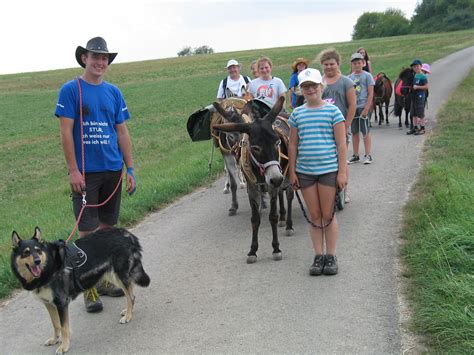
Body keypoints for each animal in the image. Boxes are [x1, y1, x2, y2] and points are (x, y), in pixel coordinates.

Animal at [10, 228, 150, 354]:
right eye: (26, 252)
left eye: (38, 251)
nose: (38, 261)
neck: (49, 266)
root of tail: (127, 233)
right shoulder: (48, 304)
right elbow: (55, 324)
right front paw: (55, 339)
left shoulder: (61, 303)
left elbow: (63, 327)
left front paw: (64, 346)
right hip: (112, 275)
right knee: (131, 293)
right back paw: (127, 311)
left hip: (119, 273)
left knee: (130, 296)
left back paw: (128, 316)